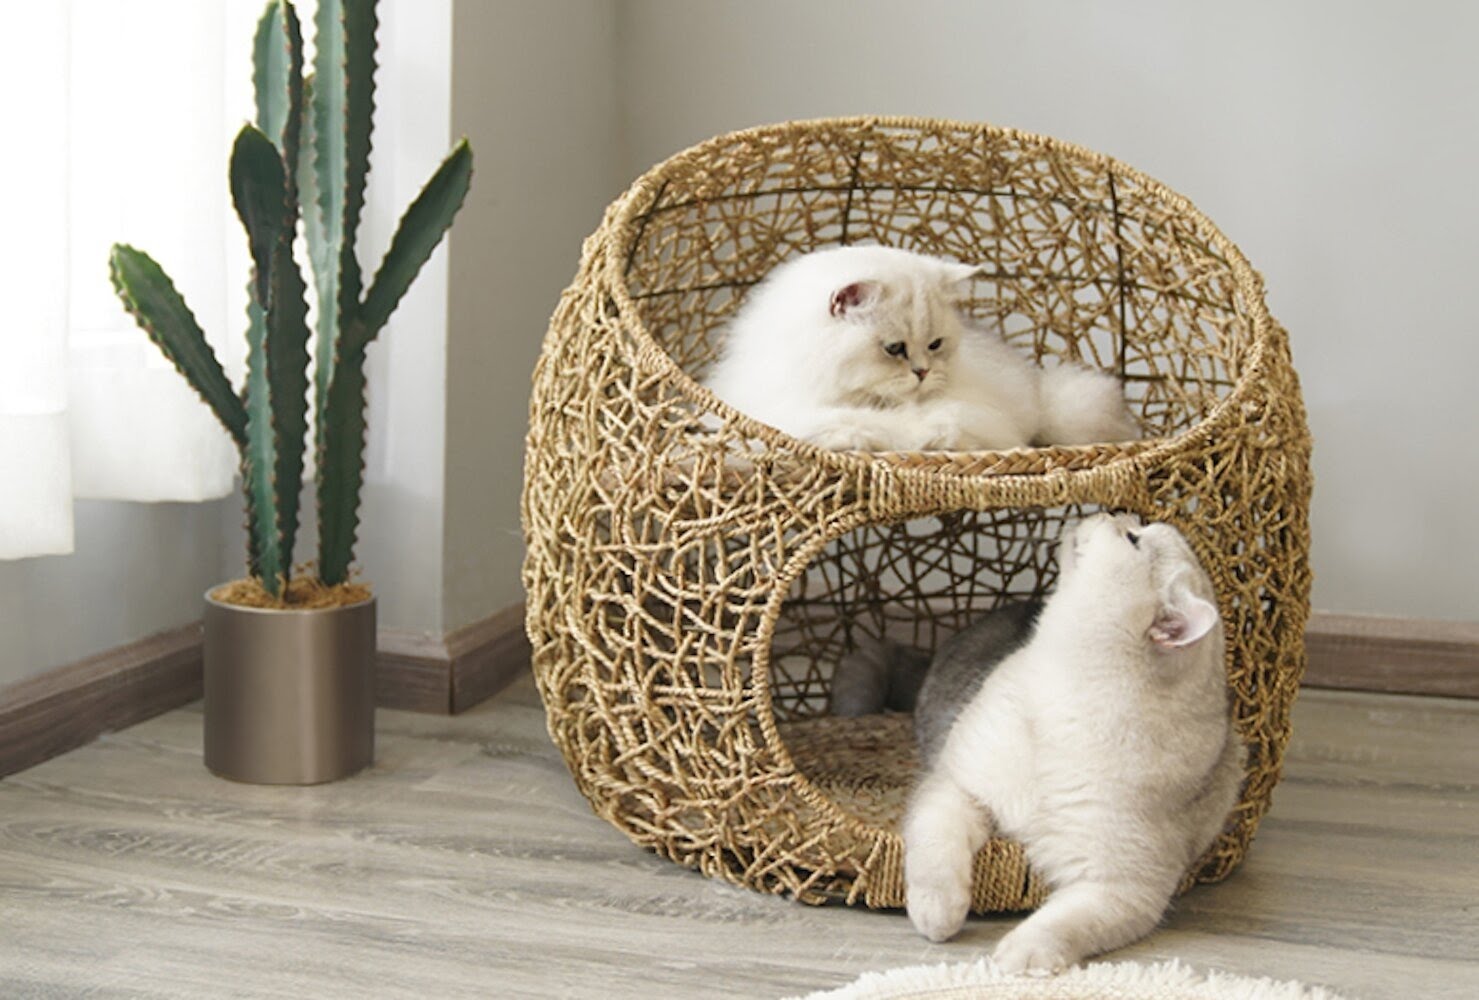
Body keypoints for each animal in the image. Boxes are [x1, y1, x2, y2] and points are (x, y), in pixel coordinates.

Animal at [698, 245, 1135, 452]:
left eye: (934, 344)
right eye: (894, 348)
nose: (923, 372)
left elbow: (934, 428)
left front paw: (919, 439)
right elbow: (836, 427)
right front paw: (857, 437)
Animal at [899, 514, 1248, 976]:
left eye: (1132, 538)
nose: (1109, 513)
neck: (1066, 700)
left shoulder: (1123, 889)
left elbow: (1062, 924)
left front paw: (1019, 960)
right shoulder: (956, 787)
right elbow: (936, 856)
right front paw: (937, 916)